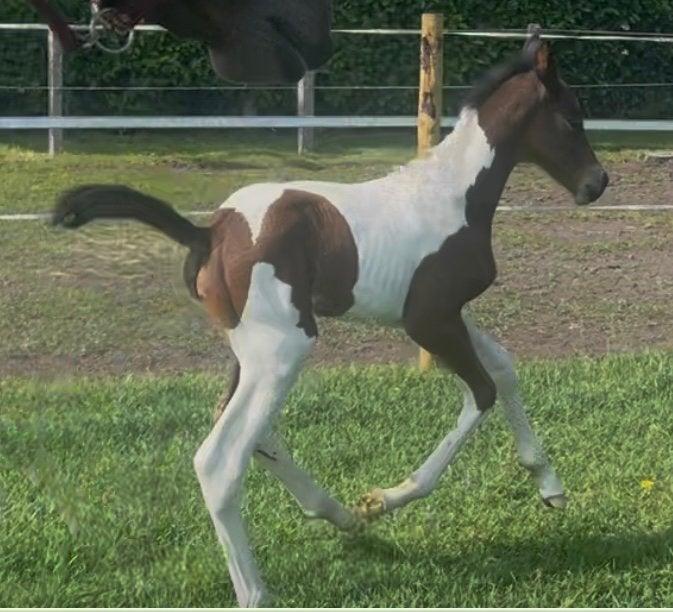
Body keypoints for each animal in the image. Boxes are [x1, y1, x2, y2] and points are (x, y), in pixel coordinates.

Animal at [52, 28, 608, 607]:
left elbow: (505, 366)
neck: (452, 196)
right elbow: (482, 392)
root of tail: (207, 233)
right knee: (221, 459)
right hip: (284, 350)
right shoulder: (429, 321)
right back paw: (260, 588)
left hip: (248, 352)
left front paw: (549, 486)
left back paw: (338, 514)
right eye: (573, 117)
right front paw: (387, 497)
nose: (599, 182)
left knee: (250, 430)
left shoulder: (446, 314)